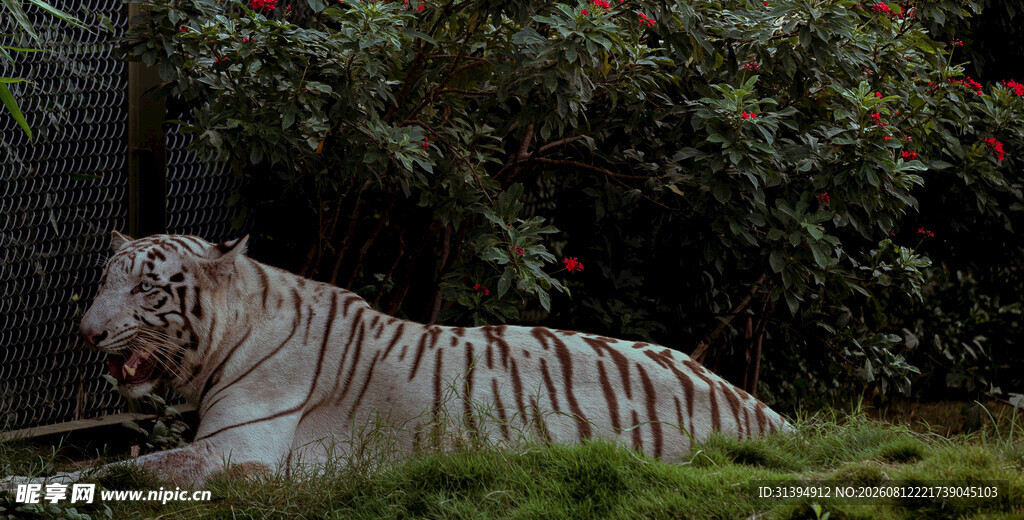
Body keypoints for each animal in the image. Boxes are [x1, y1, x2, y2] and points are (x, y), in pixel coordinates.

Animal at [64, 231, 791, 485]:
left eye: (146, 288)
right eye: (104, 280)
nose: (87, 334)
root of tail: (769, 415)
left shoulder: (239, 447)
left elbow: (127, 468)